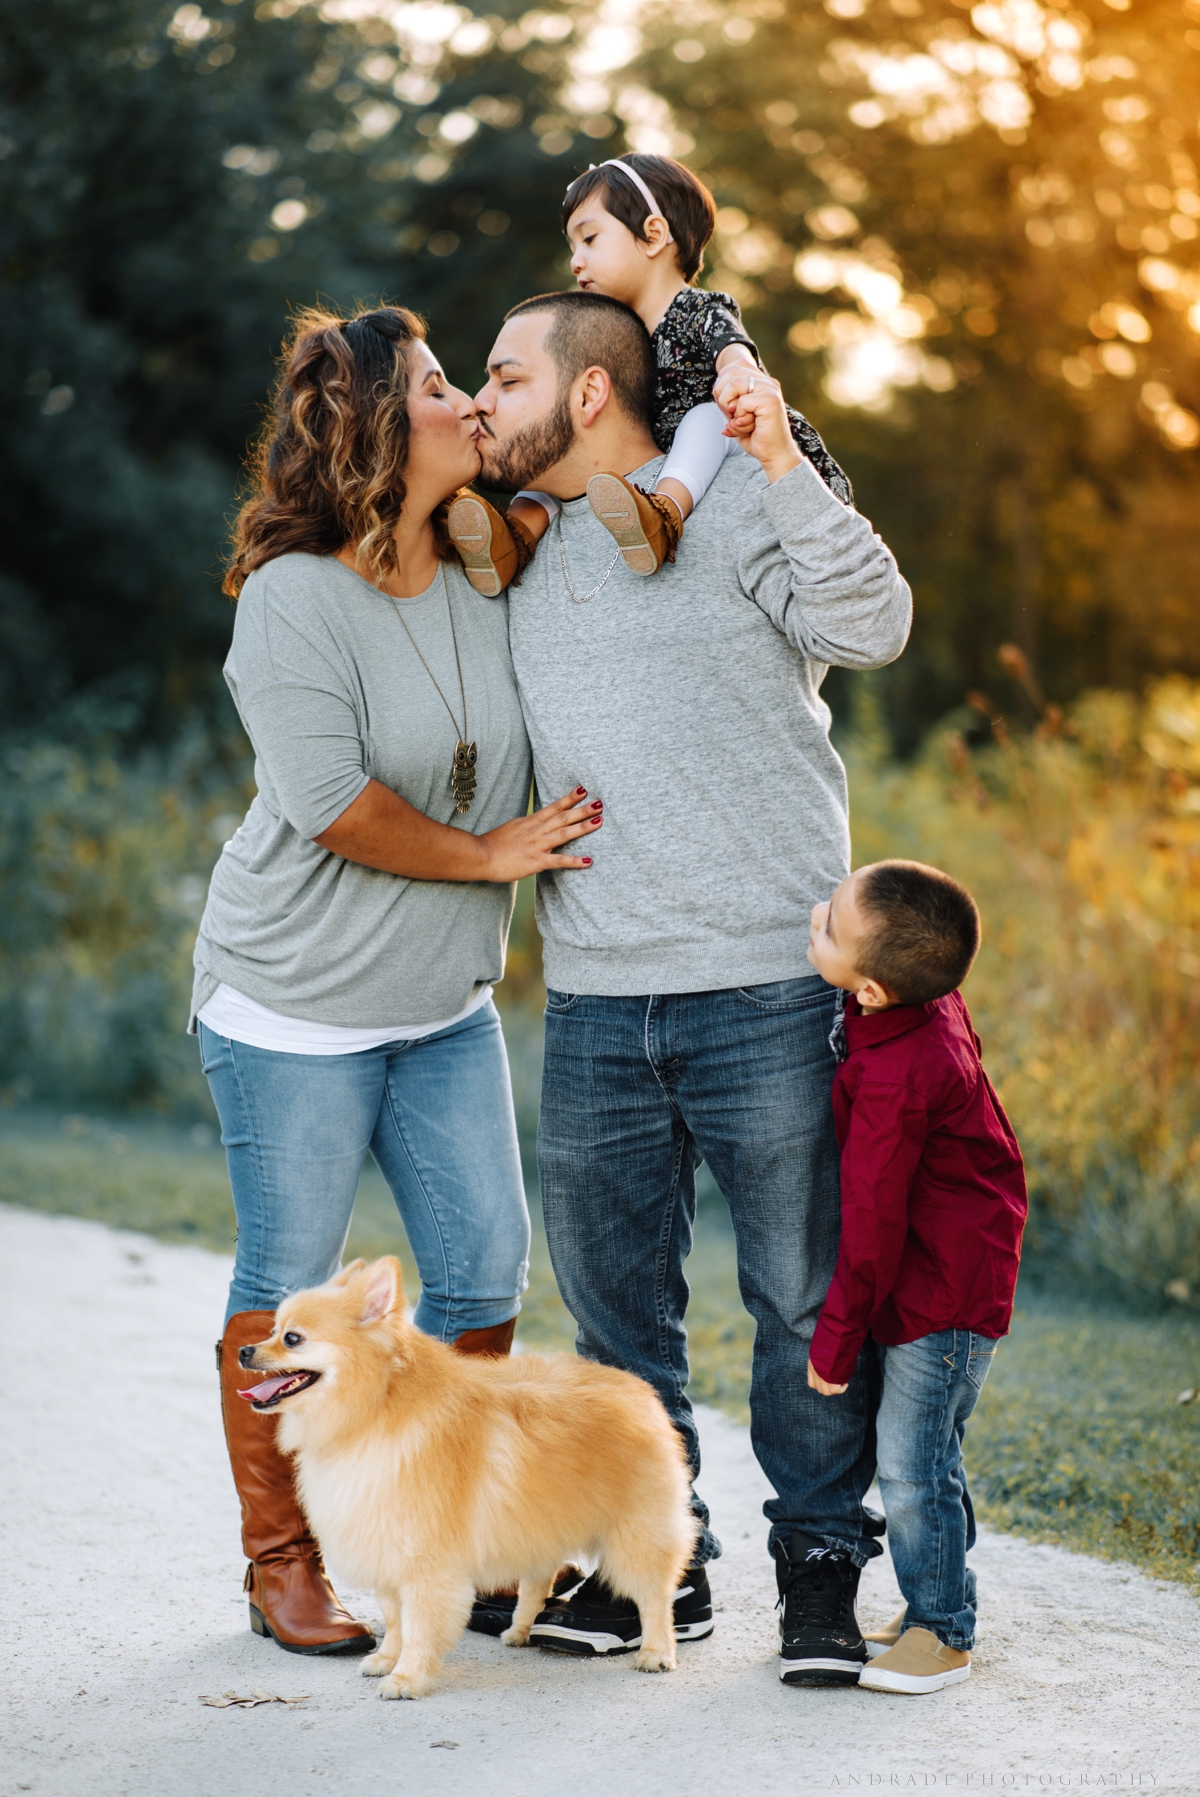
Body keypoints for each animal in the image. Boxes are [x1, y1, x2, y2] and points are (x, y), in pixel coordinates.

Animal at [237, 1257, 697, 1689]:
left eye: (292, 1338)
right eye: (272, 1329)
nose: (243, 1351)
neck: (375, 1410)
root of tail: (636, 1388)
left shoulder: (425, 1561)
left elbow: (419, 1625)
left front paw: (407, 1678)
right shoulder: (387, 1548)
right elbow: (396, 1619)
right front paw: (387, 1659)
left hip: (636, 1531)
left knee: (655, 1595)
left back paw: (657, 1651)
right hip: (540, 1522)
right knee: (540, 1576)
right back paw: (520, 1628)